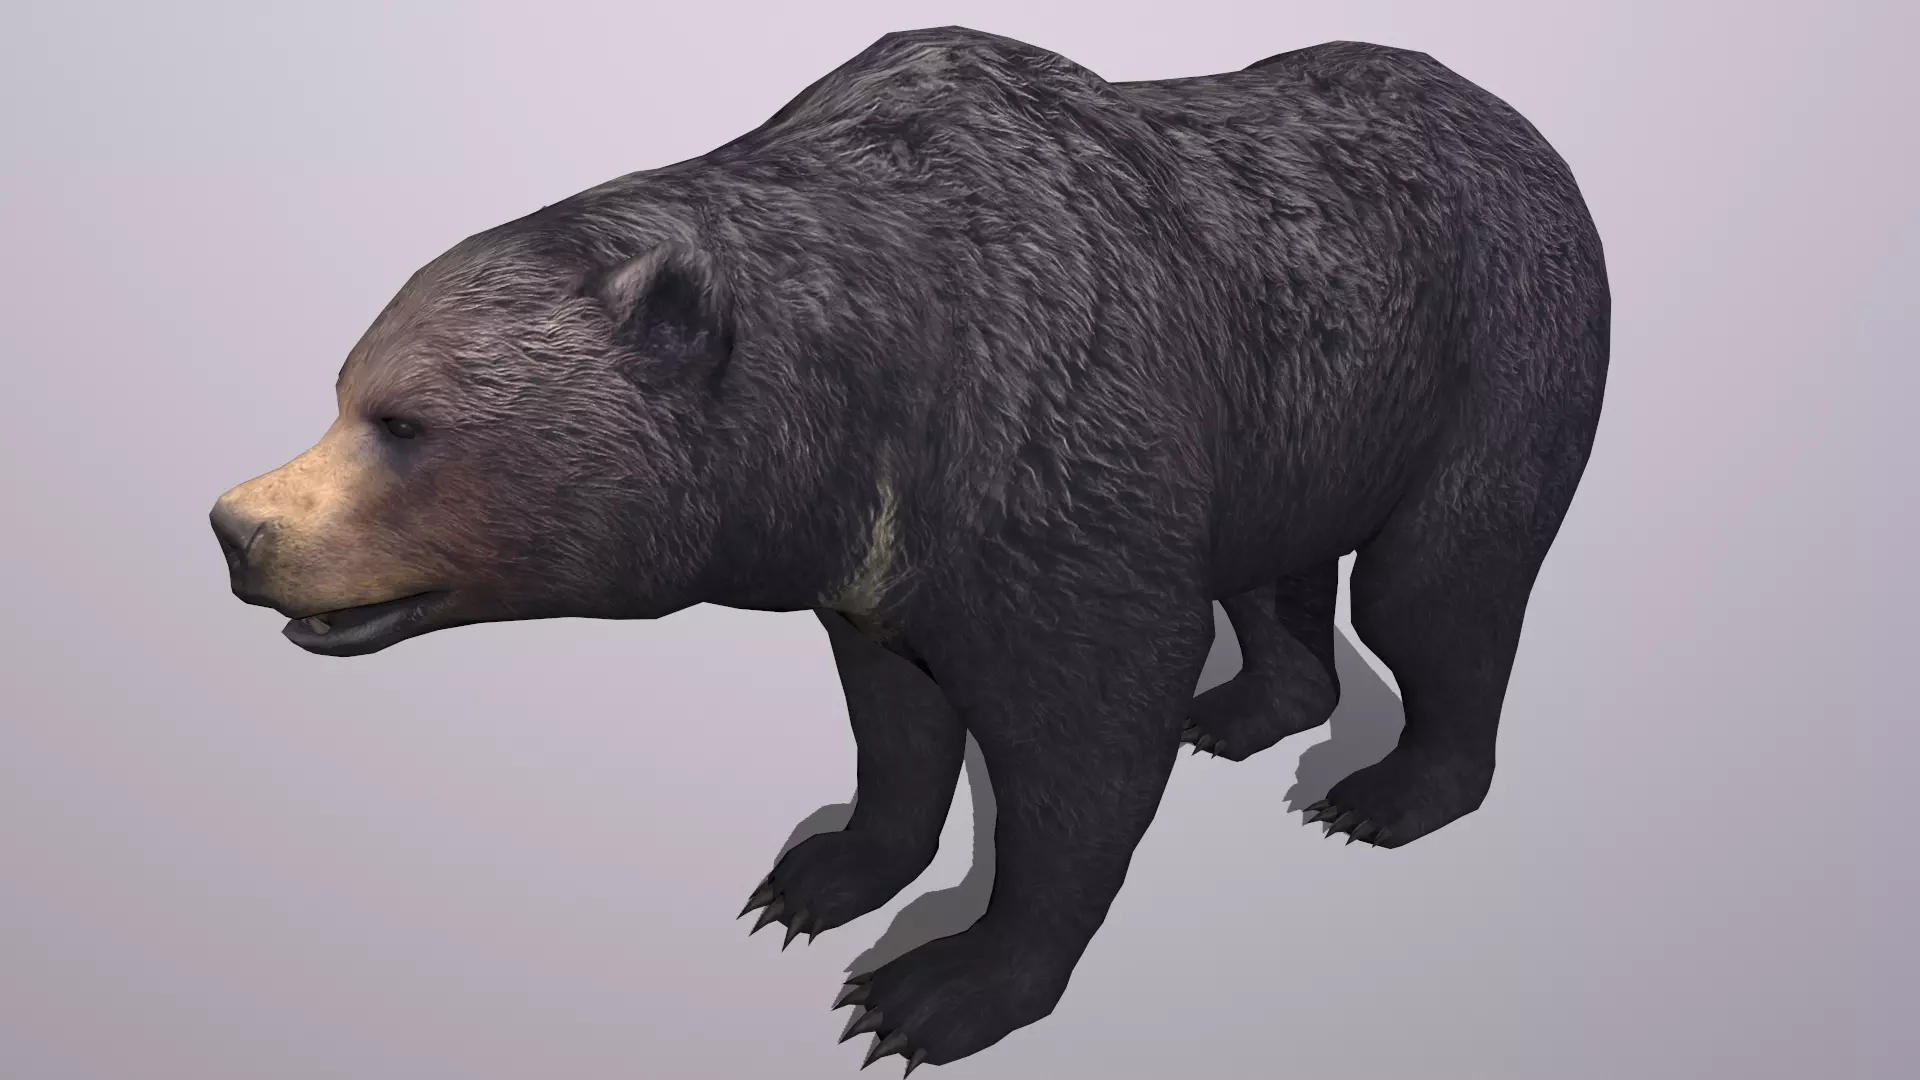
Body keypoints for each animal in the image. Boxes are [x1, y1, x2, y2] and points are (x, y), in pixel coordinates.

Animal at [210, 27, 1609, 1073]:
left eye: (405, 423)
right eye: (342, 392)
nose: (238, 526)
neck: (872, 379)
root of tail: (1516, 120)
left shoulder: (1057, 440)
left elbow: (1087, 732)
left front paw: (934, 991)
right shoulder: (877, 546)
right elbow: (894, 709)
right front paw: (819, 873)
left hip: (1496, 347)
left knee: (1438, 586)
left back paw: (1390, 791)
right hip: (1306, 416)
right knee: (1280, 572)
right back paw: (1250, 709)